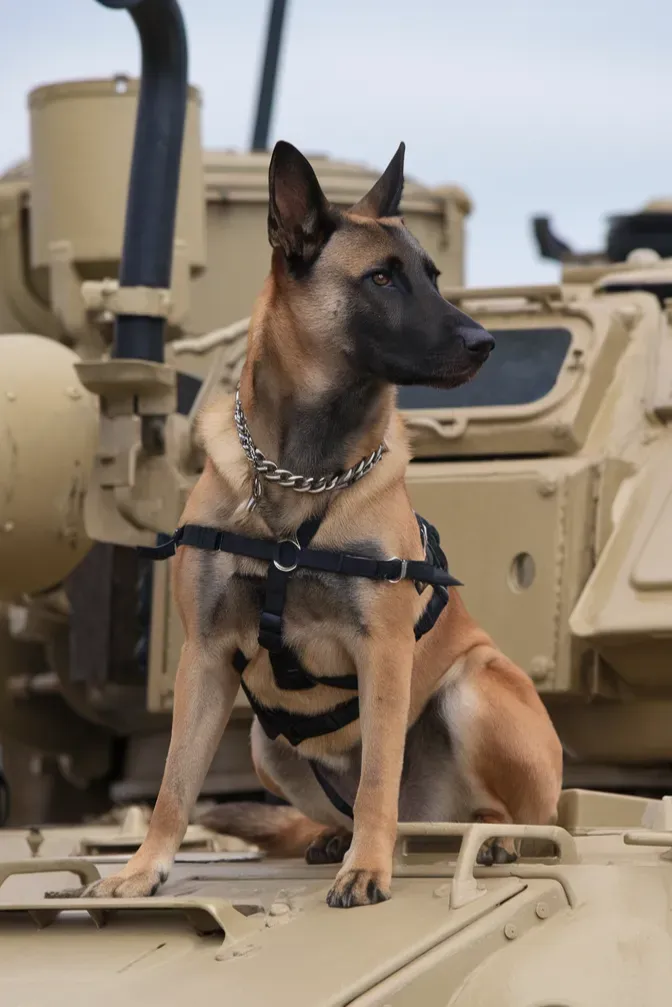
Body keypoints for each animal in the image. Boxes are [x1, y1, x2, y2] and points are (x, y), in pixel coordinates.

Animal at [66, 139, 564, 906]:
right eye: (382, 278)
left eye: (432, 276)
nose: (485, 341)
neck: (300, 477)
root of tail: (431, 825)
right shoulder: (203, 656)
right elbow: (175, 784)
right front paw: (143, 868)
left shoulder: (383, 651)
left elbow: (376, 778)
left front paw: (367, 869)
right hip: (266, 745)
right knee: (343, 801)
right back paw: (338, 837)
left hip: (474, 688)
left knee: (514, 815)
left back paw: (487, 835)